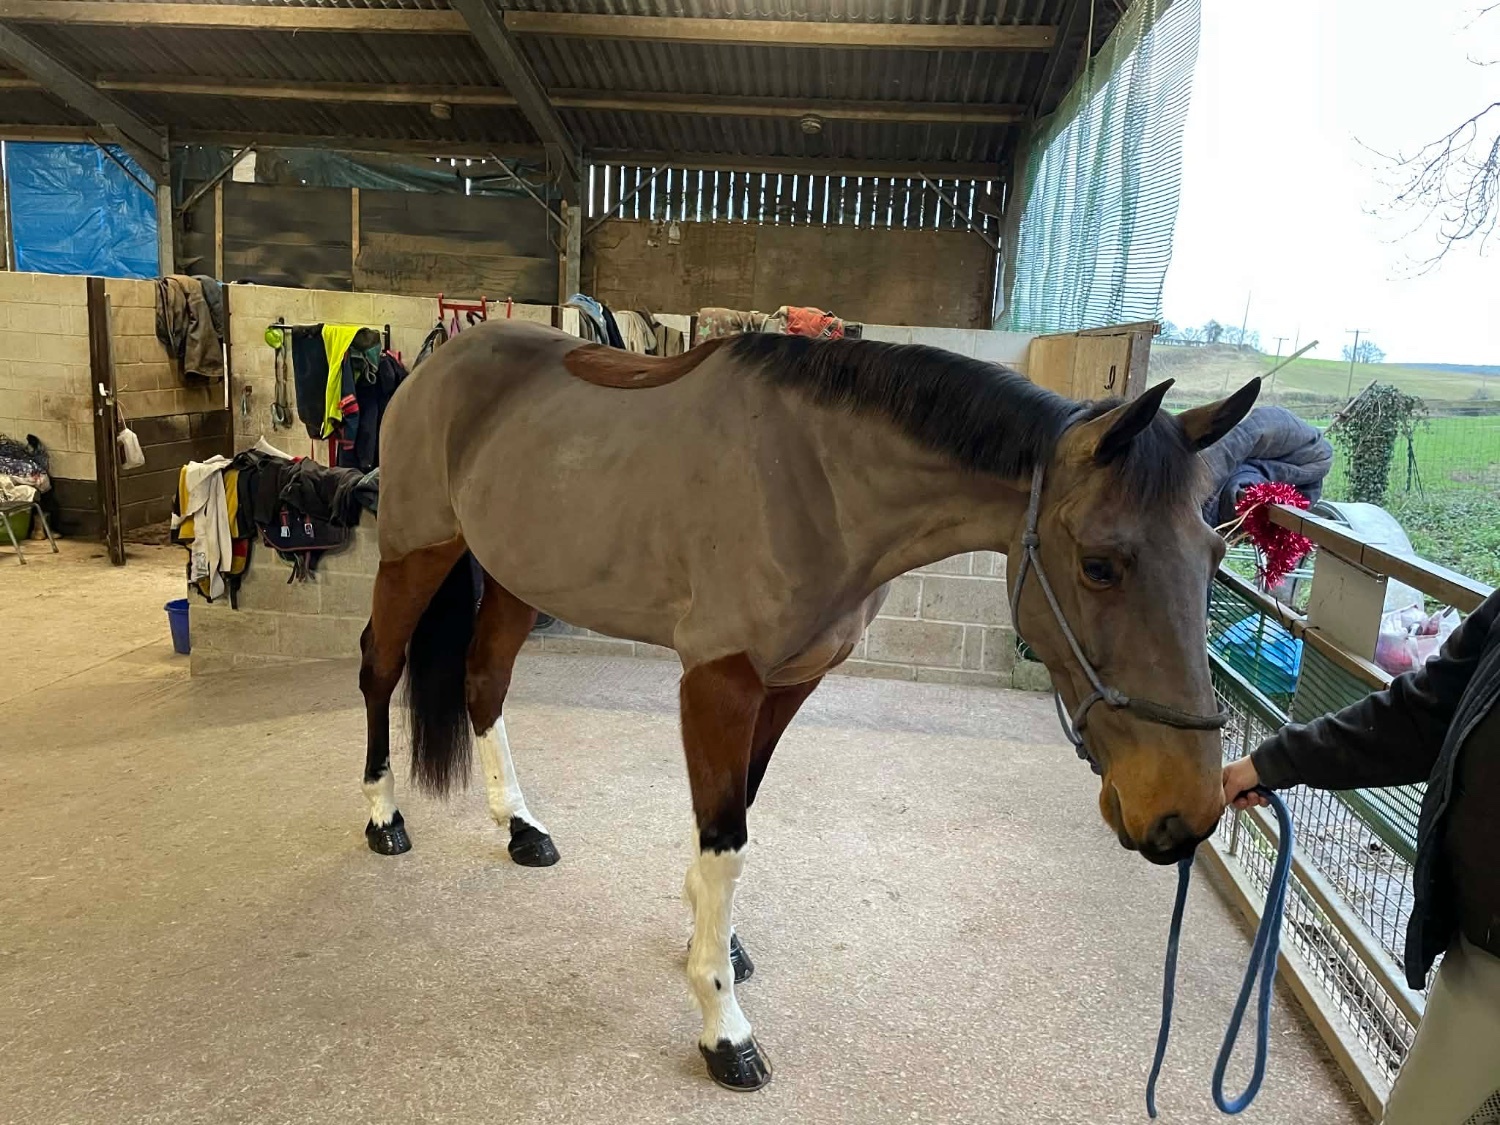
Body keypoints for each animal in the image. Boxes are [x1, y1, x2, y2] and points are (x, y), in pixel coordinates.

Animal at [357, 319, 1260, 1091]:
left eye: (1216, 553)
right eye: (1102, 564)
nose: (1186, 811)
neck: (816, 482)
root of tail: (440, 360)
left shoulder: (790, 682)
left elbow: (734, 821)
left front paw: (714, 937)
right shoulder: (718, 680)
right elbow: (726, 837)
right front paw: (723, 1022)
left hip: (516, 575)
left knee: (484, 680)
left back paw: (521, 827)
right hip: (417, 550)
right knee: (379, 666)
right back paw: (383, 816)